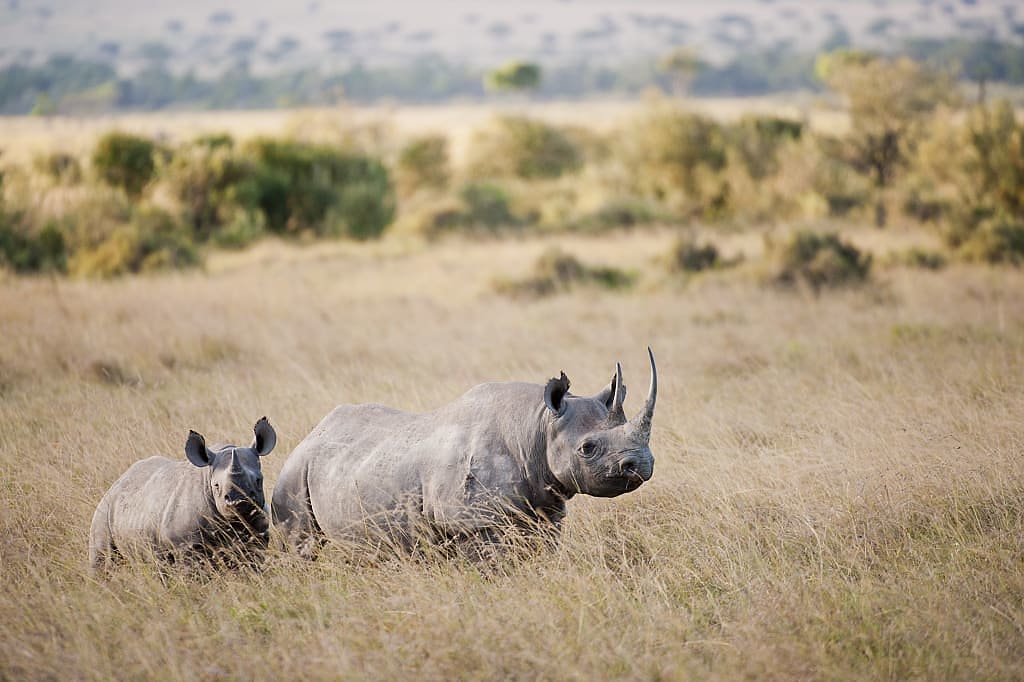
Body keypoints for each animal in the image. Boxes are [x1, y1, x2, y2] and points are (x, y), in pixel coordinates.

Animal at [89, 417, 277, 572]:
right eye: (215, 486)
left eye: (259, 480)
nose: (239, 501)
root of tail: (117, 482)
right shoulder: (185, 544)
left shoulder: (258, 535)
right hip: (104, 510)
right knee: (104, 560)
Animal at [272, 350, 657, 558]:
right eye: (587, 449)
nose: (642, 464)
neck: (537, 426)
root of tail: (310, 435)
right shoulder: (471, 519)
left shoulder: (545, 508)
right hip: (294, 472)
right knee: (303, 544)